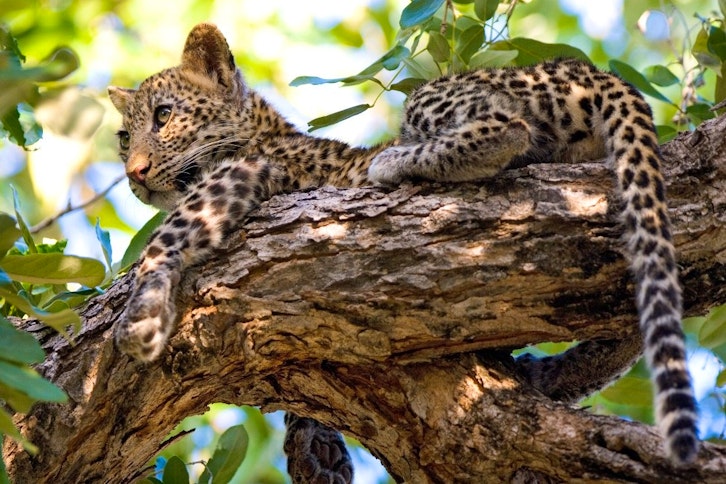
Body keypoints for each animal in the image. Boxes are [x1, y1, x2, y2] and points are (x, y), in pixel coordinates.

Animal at [108, 22, 699, 479]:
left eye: (163, 116)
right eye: (123, 138)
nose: (134, 174)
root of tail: (589, 71)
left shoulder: (247, 172)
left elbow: (168, 234)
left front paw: (141, 317)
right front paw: (317, 453)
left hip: (436, 97)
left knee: (505, 127)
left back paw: (390, 161)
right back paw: (548, 374)